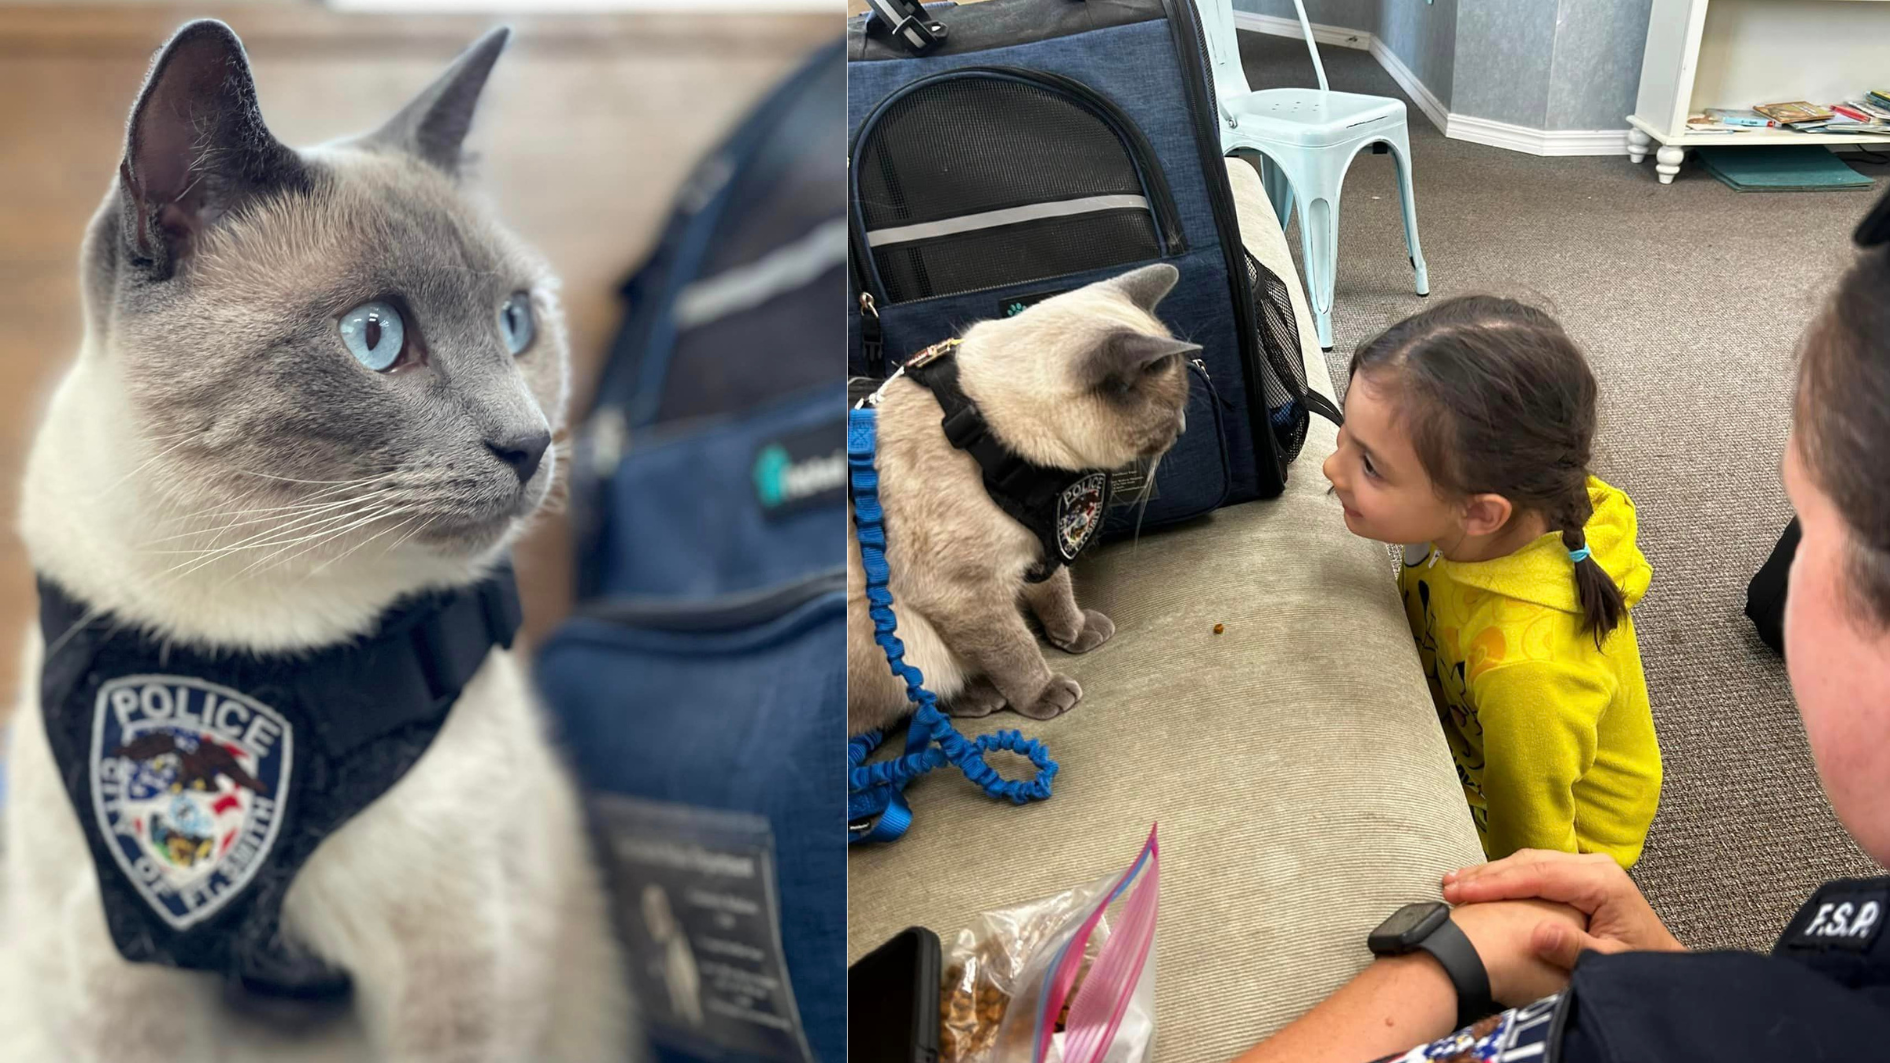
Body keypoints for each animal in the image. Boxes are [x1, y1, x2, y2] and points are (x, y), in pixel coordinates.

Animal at [0, 24, 635, 1059]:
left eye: (516, 323)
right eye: (374, 336)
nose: (530, 442)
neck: (261, 633)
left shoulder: (459, 963)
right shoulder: (118, 971)